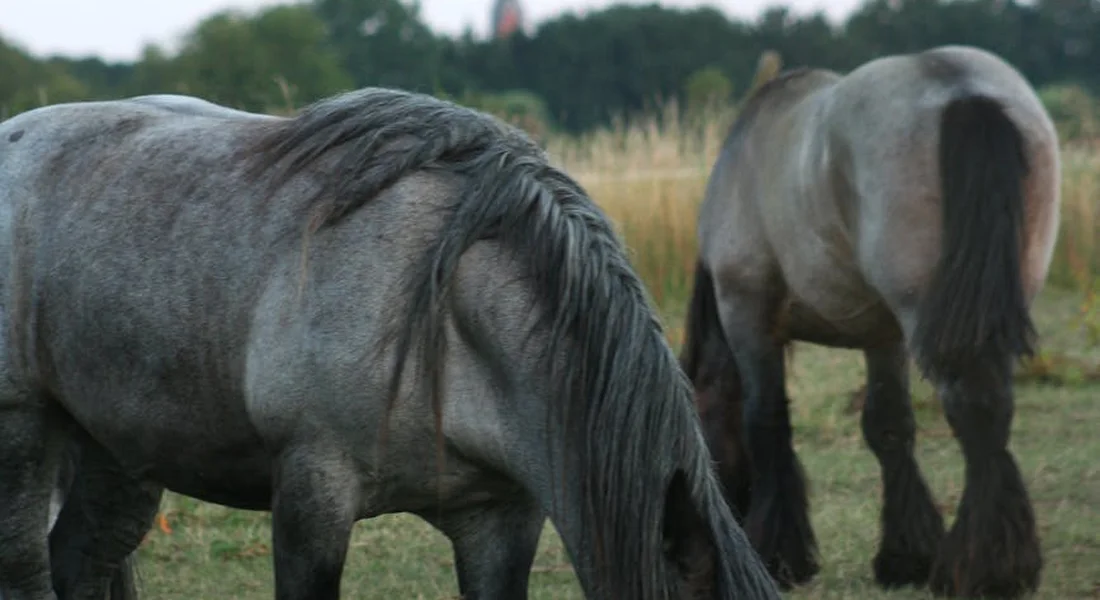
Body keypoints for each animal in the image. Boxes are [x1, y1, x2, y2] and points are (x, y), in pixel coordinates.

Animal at [0, 89, 781, 599]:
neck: (447, 324)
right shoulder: (313, 495)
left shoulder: (502, 516)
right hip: (26, 430)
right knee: (27, 568)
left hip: (122, 450)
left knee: (78, 562)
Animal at [680, 45, 1060, 599]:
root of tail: (959, 87)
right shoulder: (884, 335)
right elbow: (889, 426)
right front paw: (907, 556)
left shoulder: (745, 311)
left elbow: (765, 420)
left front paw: (777, 555)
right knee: (991, 411)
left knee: (973, 408)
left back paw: (984, 570)